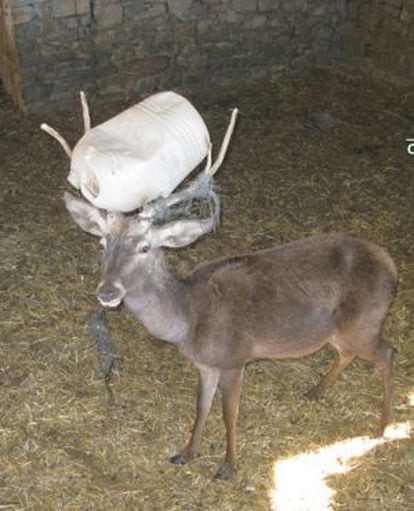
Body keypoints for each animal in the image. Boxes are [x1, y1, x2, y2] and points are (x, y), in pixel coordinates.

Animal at [64, 168, 398, 480]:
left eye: (144, 248)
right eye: (102, 243)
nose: (108, 292)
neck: (188, 320)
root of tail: (391, 267)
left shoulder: (234, 359)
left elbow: (229, 413)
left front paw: (227, 467)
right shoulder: (205, 364)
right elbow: (201, 406)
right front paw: (186, 453)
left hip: (365, 323)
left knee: (388, 353)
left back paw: (382, 427)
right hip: (341, 330)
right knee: (348, 353)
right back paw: (314, 392)